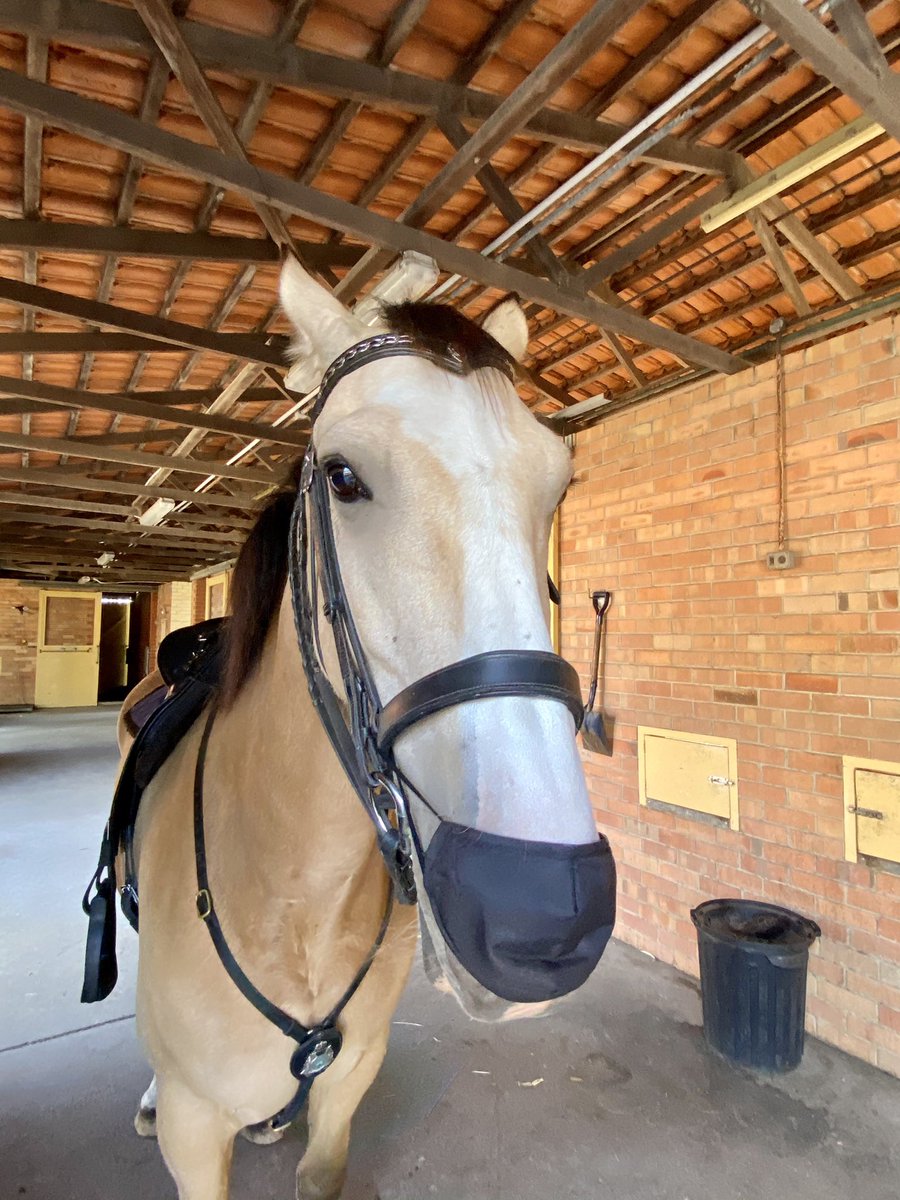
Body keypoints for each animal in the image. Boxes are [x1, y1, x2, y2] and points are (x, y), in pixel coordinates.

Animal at [116, 255, 619, 1200]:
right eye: (343, 477)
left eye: (560, 484)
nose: (547, 910)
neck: (290, 894)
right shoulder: (198, 1138)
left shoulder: (350, 1084)